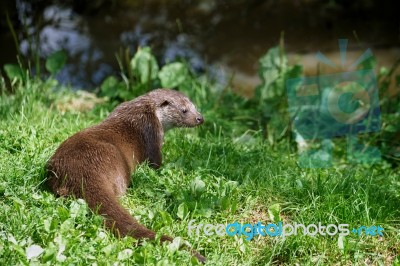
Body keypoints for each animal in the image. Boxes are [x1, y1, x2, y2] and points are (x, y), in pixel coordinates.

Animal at [45, 89, 205, 262]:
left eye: (195, 106)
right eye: (184, 110)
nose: (200, 118)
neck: (146, 111)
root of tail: (81, 174)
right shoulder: (153, 136)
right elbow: (155, 163)